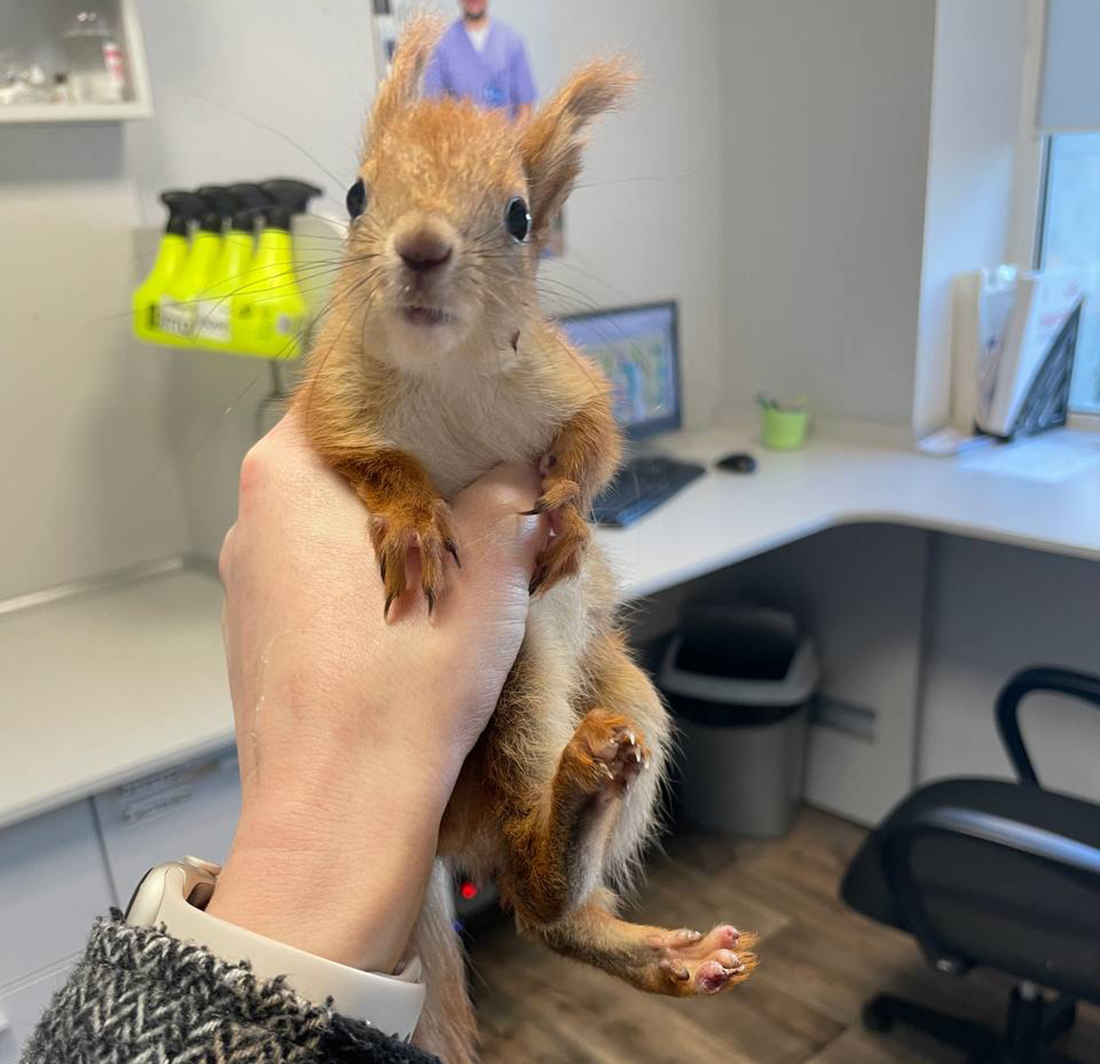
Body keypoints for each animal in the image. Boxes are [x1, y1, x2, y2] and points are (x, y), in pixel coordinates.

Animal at [292, 18, 756, 1064]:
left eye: (516, 215)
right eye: (359, 192)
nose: (424, 247)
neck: (450, 374)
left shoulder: (567, 380)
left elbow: (597, 444)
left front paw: (571, 519)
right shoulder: (329, 404)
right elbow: (371, 462)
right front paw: (416, 523)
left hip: (628, 696)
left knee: (550, 909)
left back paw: (658, 948)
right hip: (511, 698)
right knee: (528, 888)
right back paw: (576, 803)